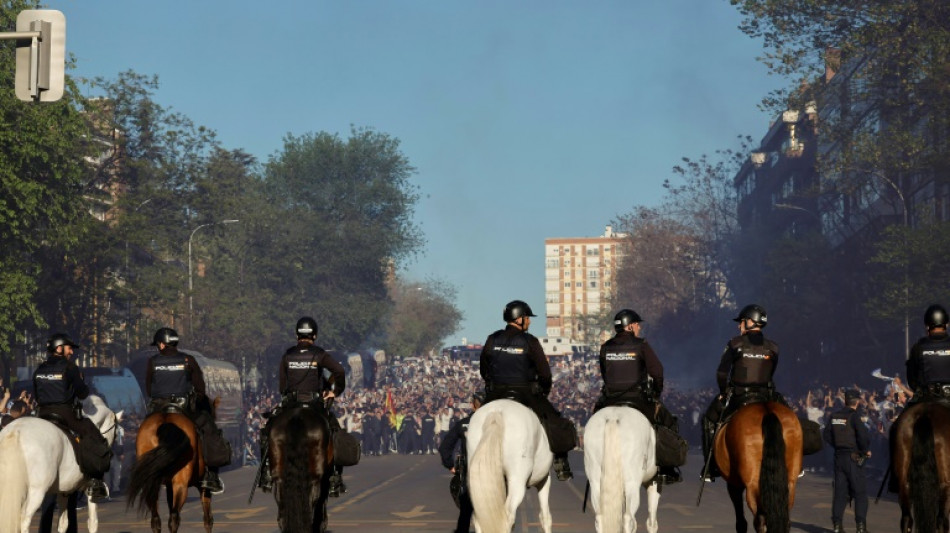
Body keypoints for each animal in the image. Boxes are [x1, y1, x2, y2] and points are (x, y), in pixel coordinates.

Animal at [0, 394, 122, 532]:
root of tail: (16, 430)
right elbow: (93, 523)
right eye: (116, 431)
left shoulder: (64, 491)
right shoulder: (89, 491)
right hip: (36, 491)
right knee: (24, 519)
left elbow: (63, 523)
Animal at [268, 404, 334, 532]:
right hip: (316, 475)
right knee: (314, 498)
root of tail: (297, 418)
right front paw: (322, 523)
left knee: (280, 496)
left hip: (278, 470)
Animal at [466, 400, 556, 532]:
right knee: (508, 515)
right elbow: (545, 517)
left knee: (479, 518)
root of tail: (496, 412)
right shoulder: (544, 480)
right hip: (517, 481)